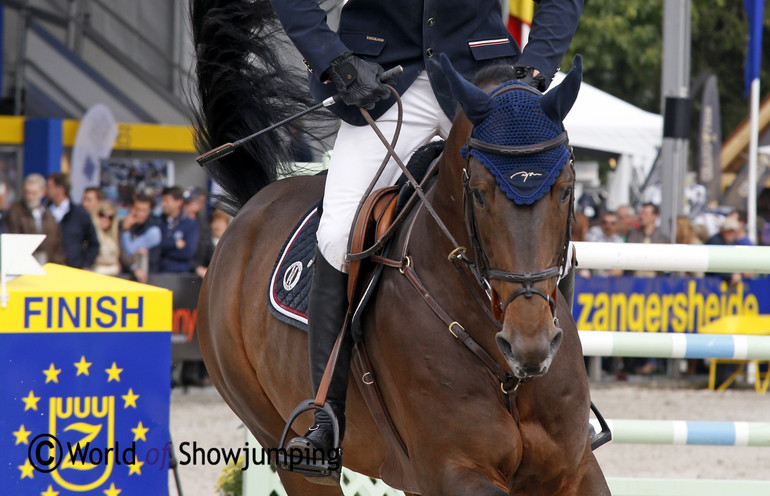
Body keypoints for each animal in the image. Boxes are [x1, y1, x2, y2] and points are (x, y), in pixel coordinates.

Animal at [190, 1, 608, 494]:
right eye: (479, 193)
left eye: (566, 189)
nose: (531, 346)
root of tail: (252, 209)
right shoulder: (453, 471)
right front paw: (357, 77)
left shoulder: (576, 469)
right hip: (282, 443)